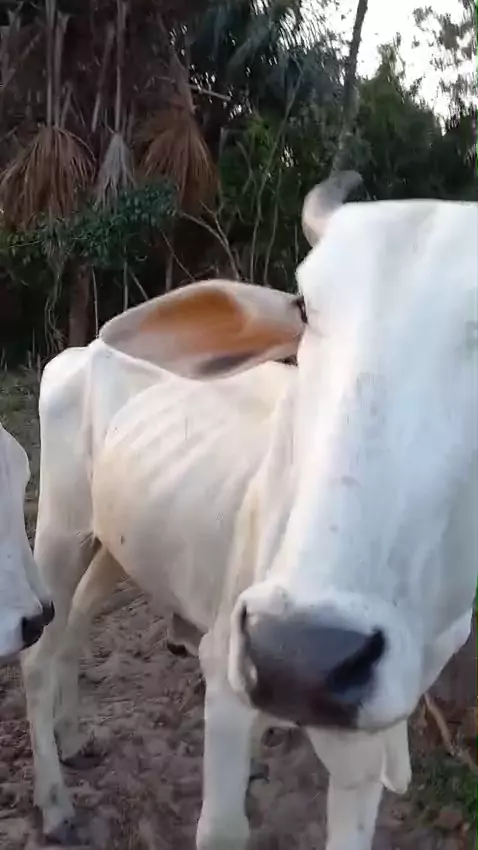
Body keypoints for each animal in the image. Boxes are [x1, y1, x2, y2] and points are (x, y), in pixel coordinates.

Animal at [21, 172, 478, 849]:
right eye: (305, 309)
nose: (299, 655)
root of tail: (81, 351)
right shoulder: (226, 681)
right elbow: (222, 828)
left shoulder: (366, 734)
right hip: (59, 531)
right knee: (35, 658)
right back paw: (53, 801)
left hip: (117, 545)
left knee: (74, 628)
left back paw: (75, 737)